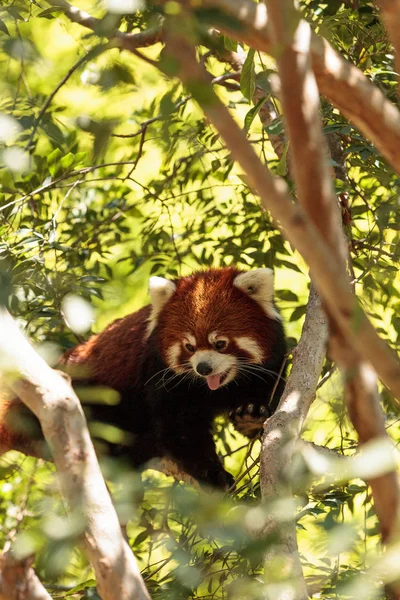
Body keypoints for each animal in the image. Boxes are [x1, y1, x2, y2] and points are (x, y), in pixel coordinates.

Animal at [0, 268, 288, 488]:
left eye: (220, 344)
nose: (203, 368)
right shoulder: (161, 375)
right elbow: (180, 429)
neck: (217, 388)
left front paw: (251, 416)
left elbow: (267, 395)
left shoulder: (270, 365)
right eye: (189, 347)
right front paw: (214, 475)